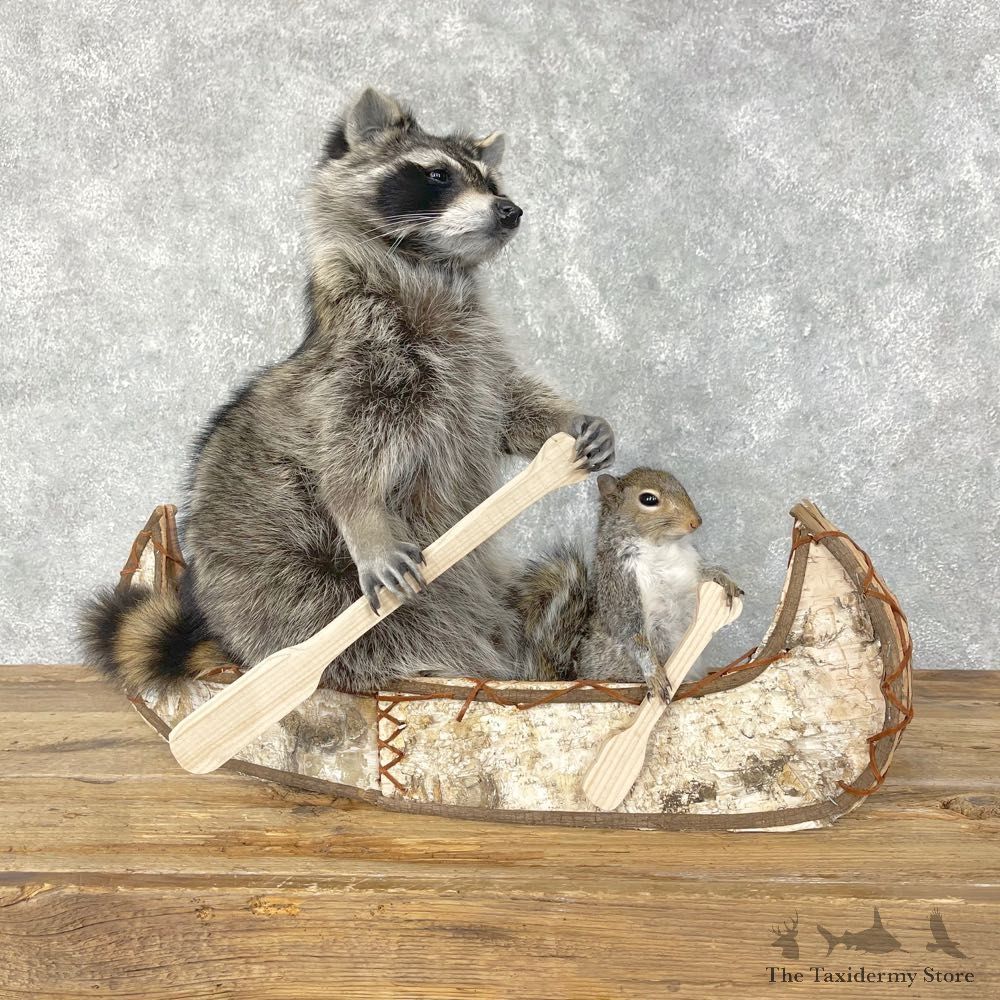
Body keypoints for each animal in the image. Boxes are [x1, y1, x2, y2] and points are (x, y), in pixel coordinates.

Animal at [80, 88, 615, 694]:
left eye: (494, 183)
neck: (425, 266)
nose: (510, 210)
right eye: (437, 175)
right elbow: (346, 458)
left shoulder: (479, 362)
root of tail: (223, 633)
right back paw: (452, 664)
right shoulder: (357, 361)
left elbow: (510, 406)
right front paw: (365, 518)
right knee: (385, 628)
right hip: (281, 581)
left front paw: (566, 421)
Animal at [516, 468, 742, 700]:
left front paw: (722, 578)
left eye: (681, 486)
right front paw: (653, 673)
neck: (662, 545)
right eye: (649, 499)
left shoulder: (689, 568)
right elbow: (633, 633)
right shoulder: (621, 584)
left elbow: (703, 573)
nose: (696, 521)